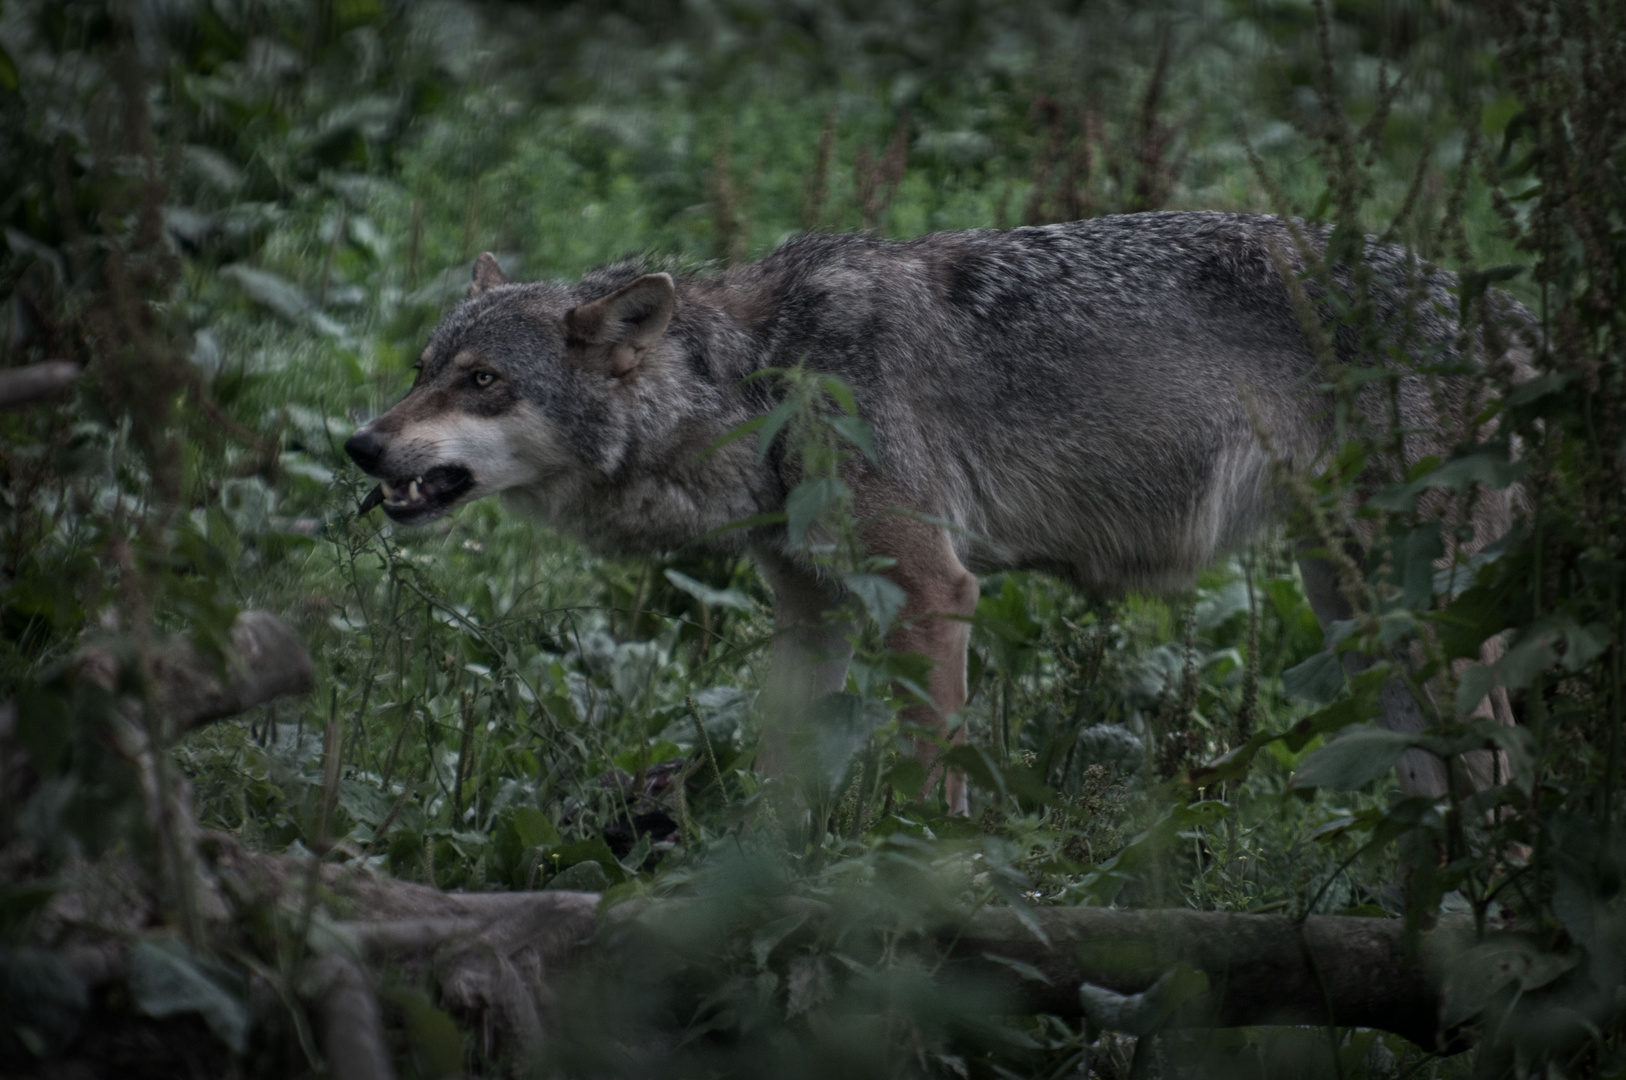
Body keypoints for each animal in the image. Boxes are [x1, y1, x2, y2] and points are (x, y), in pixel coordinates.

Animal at [349, 214, 1528, 813]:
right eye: (421, 372)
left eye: (483, 383)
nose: (358, 443)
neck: (764, 381)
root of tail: (1502, 305)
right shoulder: (811, 616)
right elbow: (776, 785)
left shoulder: (933, 590)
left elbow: (928, 782)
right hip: (1361, 617)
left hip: (1424, 621)